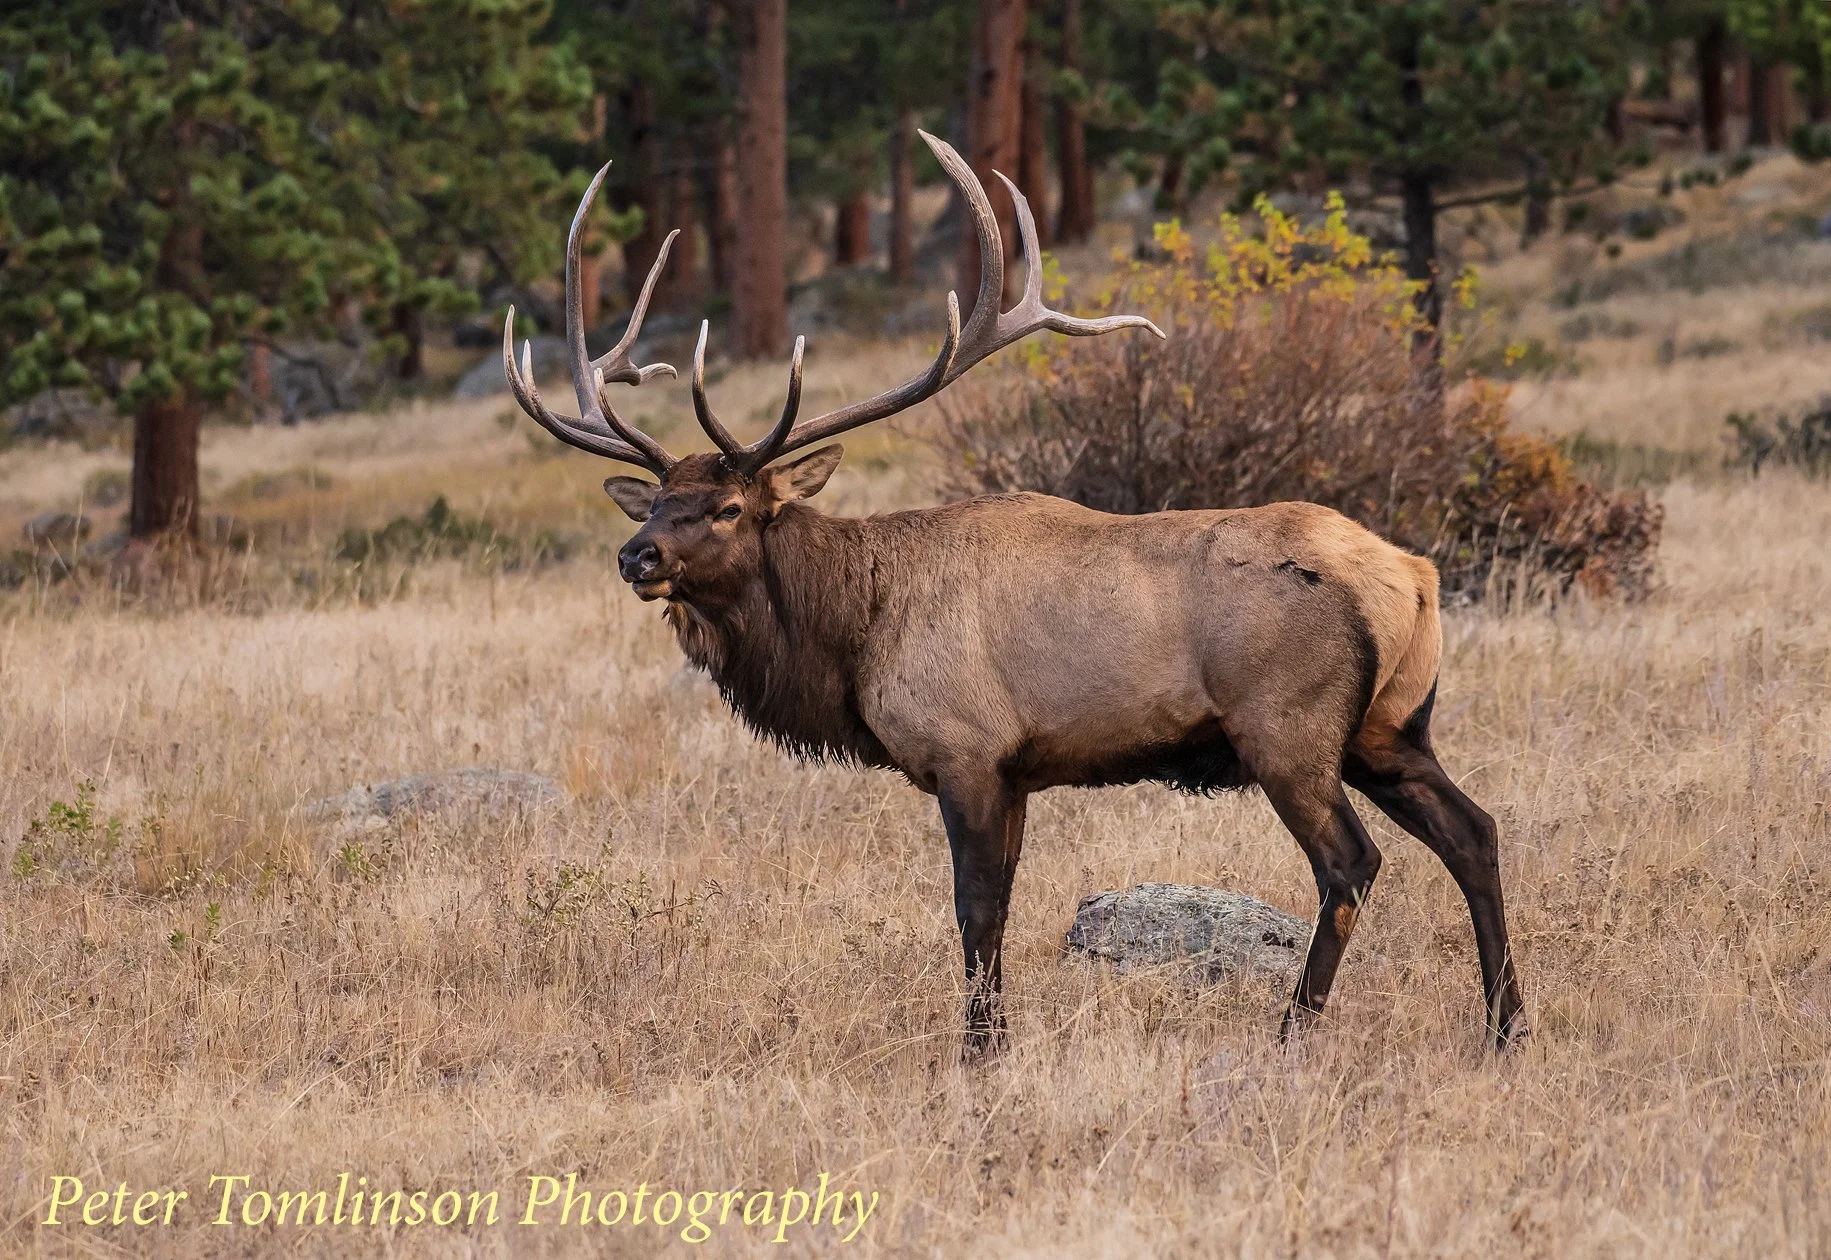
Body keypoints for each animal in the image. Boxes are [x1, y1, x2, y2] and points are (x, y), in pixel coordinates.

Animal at [501, 131, 1528, 1053]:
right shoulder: (1020, 768)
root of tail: (1416, 579)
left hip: (1290, 726)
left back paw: (1293, 1029)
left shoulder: (964, 748)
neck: (852, 634)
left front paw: (978, 1049)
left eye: (725, 507)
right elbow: (1001, 902)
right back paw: (1505, 1024)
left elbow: (976, 909)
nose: (636, 556)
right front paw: (993, 1036)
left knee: (1351, 863)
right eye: (656, 500)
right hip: (1390, 727)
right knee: (1473, 830)